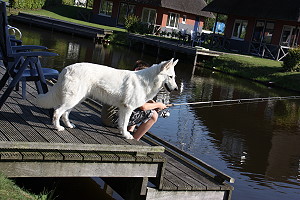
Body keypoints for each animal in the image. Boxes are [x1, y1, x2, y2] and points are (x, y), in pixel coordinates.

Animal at [37, 57, 178, 139]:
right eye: (170, 77)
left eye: (174, 77)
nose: (177, 89)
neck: (147, 81)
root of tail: (66, 68)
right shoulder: (128, 108)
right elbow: (125, 123)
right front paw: (126, 135)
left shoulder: (124, 109)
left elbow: (122, 124)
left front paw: (122, 133)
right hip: (73, 99)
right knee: (57, 112)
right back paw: (58, 127)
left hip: (77, 99)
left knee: (65, 113)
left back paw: (69, 125)